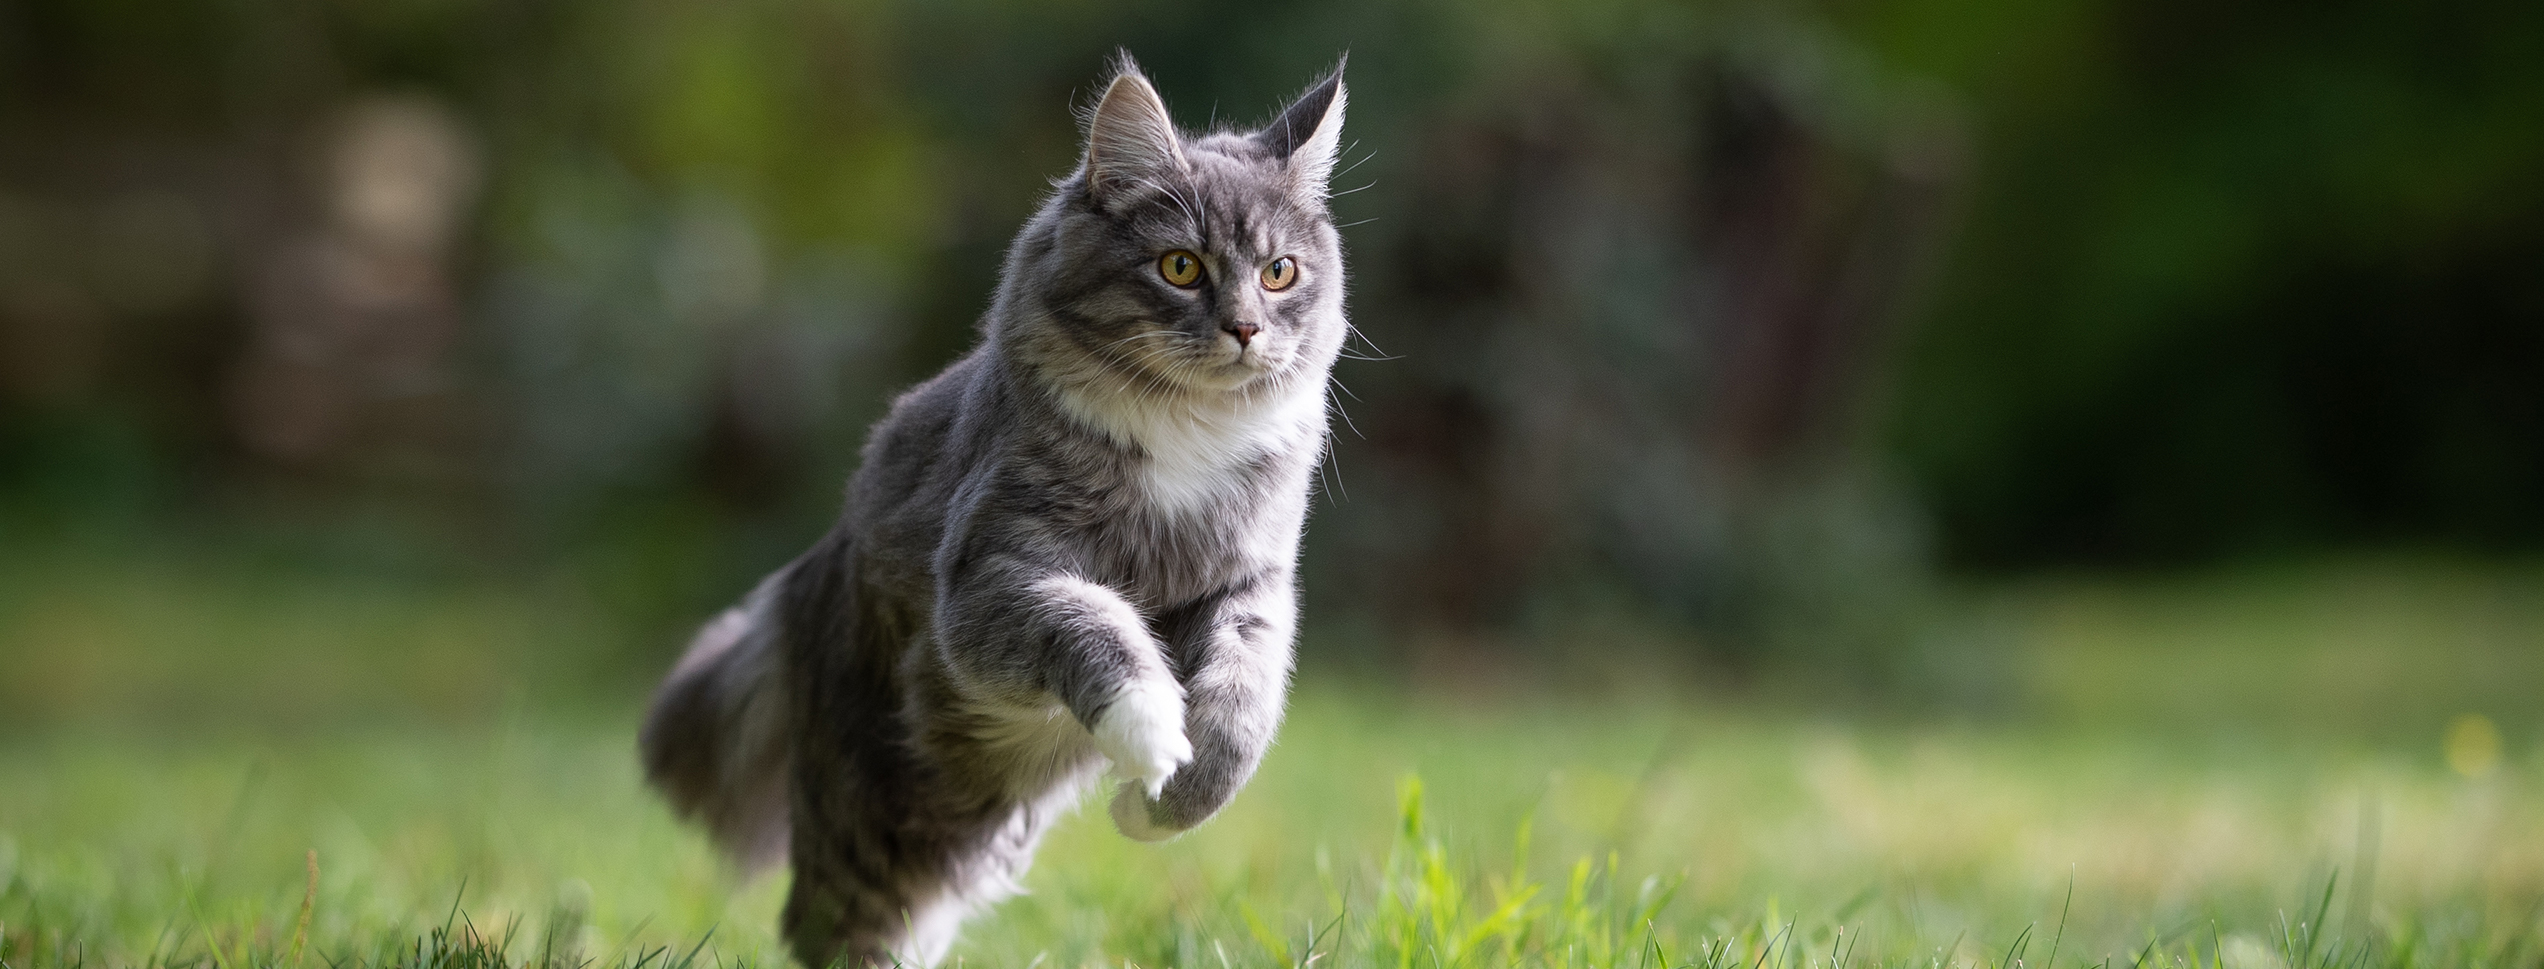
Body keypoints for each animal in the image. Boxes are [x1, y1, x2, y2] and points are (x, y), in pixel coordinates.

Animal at [636, 60, 1353, 966]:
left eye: (1280, 272)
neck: (1187, 434)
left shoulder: (1250, 591)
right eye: (1181, 267)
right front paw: (1152, 730)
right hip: (870, 817)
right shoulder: (993, 575)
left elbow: (1238, 724)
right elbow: (1096, 623)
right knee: (830, 929)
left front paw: (1154, 805)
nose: (1246, 328)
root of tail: (815, 565)